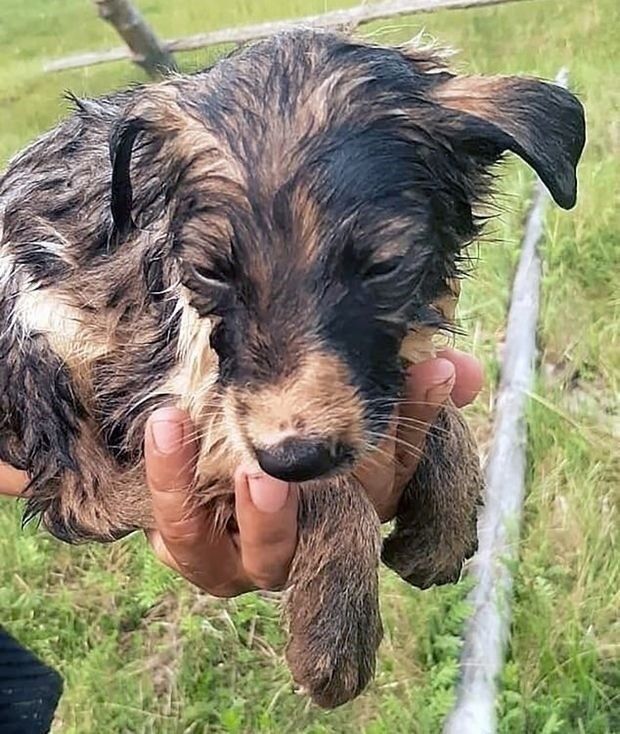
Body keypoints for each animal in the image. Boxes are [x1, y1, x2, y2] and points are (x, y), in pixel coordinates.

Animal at [0, 31, 584, 712]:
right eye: (209, 272)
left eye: (383, 267)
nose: (294, 454)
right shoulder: (156, 371)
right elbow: (290, 467)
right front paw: (336, 626)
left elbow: (423, 403)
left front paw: (445, 516)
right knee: (77, 496)